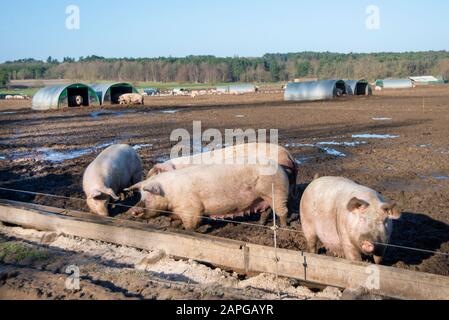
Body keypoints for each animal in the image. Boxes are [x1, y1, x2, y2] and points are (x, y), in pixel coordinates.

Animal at [124, 164, 288, 231]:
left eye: (149, 195)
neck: (170, 194)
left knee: (283, 212)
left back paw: (284, 228)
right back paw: (262, 224)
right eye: (141, 195)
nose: (132, 210)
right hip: (263, 197)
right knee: (267, 211)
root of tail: (280, 168)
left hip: (277, 193)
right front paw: (171, 227)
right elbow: (173, 221)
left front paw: (189, 231)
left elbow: (191, 225)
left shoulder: (192, 209)